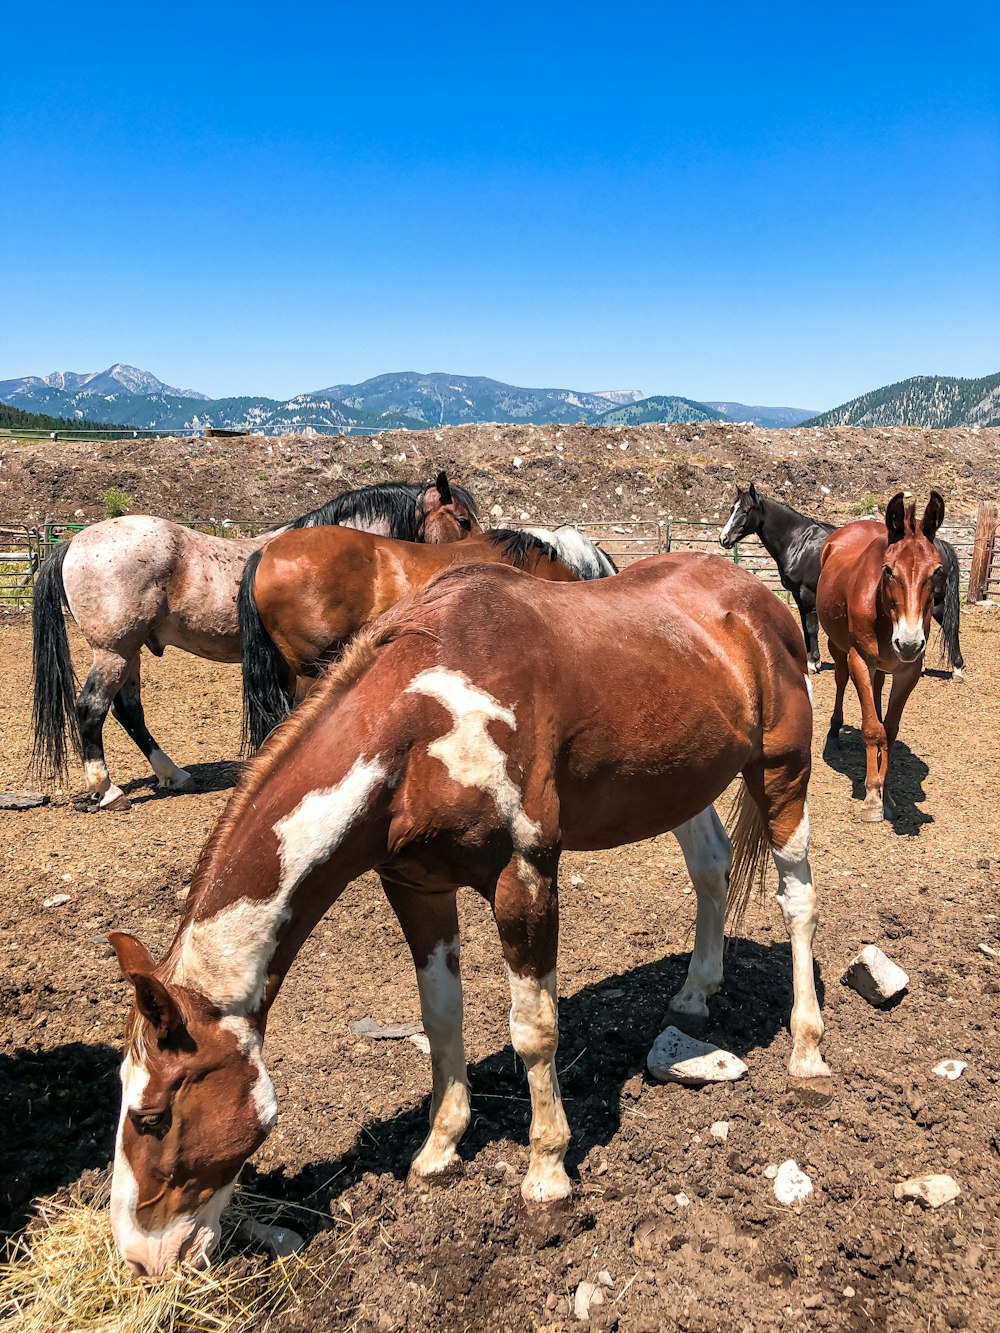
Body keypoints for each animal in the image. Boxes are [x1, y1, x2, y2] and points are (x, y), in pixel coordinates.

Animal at [33, 474, 480, 805]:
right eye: (462, 519)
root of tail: (74, 541)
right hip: (114, 651)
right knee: (92, 707)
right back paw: (106, 789)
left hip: (130, 651)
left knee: (129, 710)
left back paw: (173, 774)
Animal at [108, 554, 832, 1279]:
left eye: (153, 1116)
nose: (141, 1256)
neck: (425, 727)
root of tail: (753, 596)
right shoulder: (415, 887)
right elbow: (440, 1014)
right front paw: (439, 1147)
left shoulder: (524, 878)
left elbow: (535, 1030)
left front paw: (546, 1173)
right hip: (683, 782)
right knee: (710, 869)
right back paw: (694, 994)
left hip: (781, 771)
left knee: (798, 899)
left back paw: (806, 1048)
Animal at [725, 482, 965, 677]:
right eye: (732, 509)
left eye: (745, 510)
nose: (724, 538)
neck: (798, 541)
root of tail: (940, 544)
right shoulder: (799, 596)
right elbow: (804, 627)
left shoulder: (807, 594)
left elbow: (811, 627)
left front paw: (814, 663)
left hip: (936, 602)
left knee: (949, 628)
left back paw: (956, 668)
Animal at [816, 493, 944, 821]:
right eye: (887, 569)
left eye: (937, 571)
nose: (909, 643)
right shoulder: (859, 659)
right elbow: (873, 729)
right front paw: (873, 797)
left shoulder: (907, 671)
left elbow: (890, 728)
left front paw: (887, 794)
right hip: (838, 648)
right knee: (841, 681)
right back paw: (834, 734)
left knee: (875, 692)